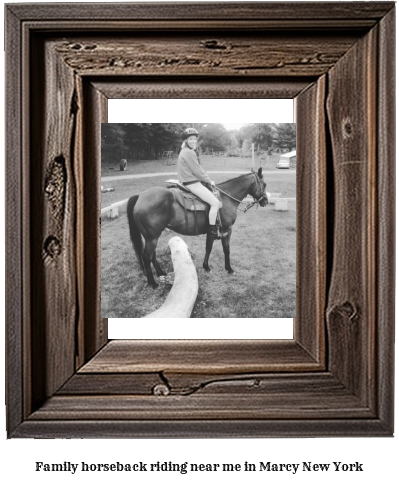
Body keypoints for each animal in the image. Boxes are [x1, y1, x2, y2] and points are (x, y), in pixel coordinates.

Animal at [126, 169, 268, 290]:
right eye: (264, 184)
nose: (265, 201)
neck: (226, 198)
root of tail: (140, 196)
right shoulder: (227, 230)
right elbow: (226, 249)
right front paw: (229, 269)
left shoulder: (212, 232)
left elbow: (208, 247)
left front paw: (206, 267)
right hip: (152, 237)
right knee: (146, 257)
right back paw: (153, 283)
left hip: (151, 237)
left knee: (152, 255)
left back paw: (160, 273)